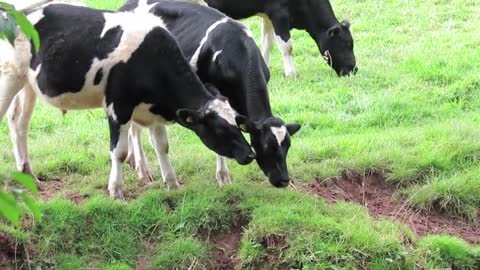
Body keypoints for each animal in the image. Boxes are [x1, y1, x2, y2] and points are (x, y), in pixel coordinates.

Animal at [0, 3, 255, 199]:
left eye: (238, 124)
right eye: (220, 130)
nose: (250, 154)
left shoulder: (154, 110)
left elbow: (162, 146)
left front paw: (172, 183)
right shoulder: (117, 106)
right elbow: (119, 152)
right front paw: (116, 190)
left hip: (28, 84)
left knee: (18, 122)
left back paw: (27, 172)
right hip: (10, 76)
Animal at [120, 0, 300, 188]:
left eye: (287, 147)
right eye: (267, 146)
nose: (283, 180)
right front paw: (222, 175)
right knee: (134, 129)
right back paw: (141, 167)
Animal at [184, 0, 356, 78]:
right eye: (346, 44)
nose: (354, 68)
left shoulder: (268, 16)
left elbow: (267, 43)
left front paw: (264, 67)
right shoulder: (279, 14)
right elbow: (287, 46)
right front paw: (291, 73)